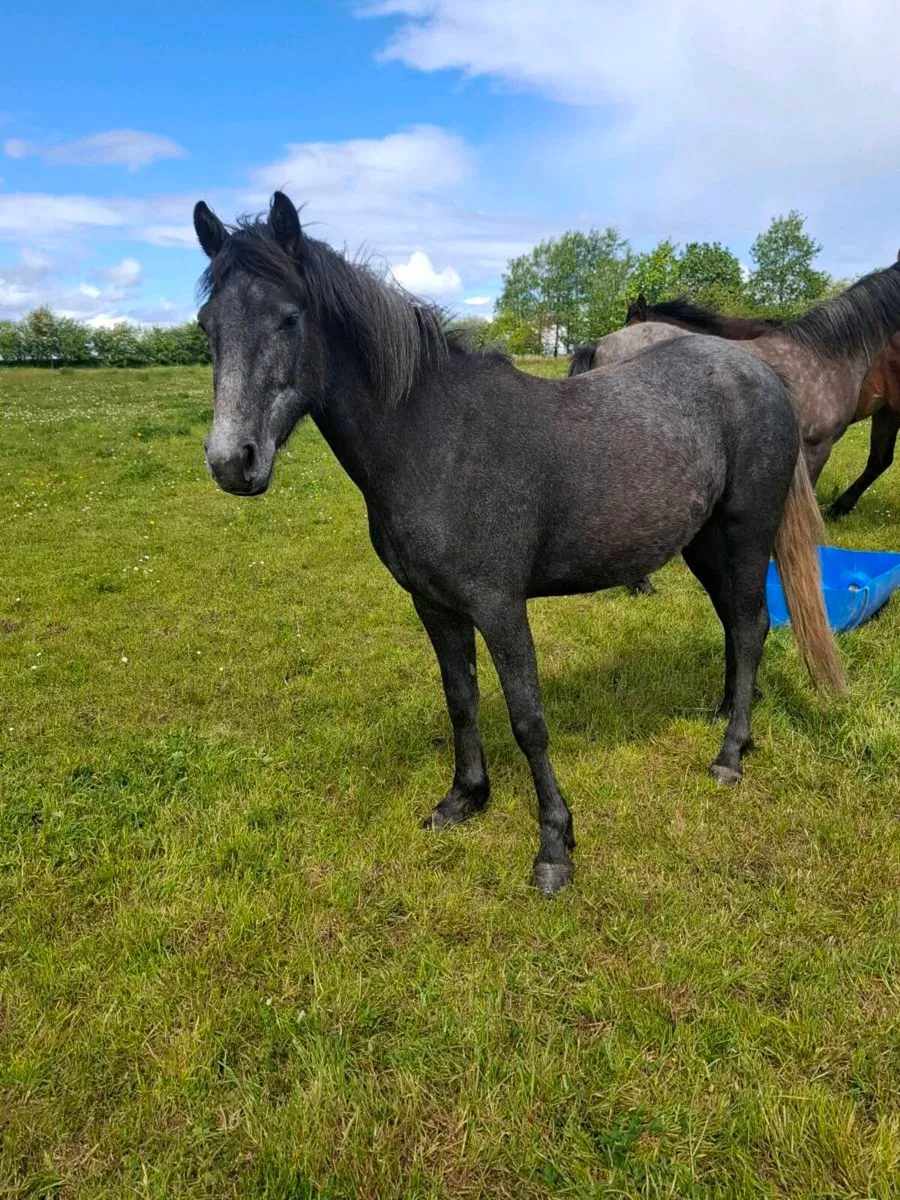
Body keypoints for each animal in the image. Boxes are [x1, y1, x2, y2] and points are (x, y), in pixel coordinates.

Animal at [193, 191, 845, 896]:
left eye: (289, 319)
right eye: (207, 326)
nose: (232, 462)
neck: (436, 441)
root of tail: (758, 371)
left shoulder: (500, 607)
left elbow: (528, 719)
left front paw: (554, 846)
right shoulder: (435, 606)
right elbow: (461, 699)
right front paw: (464, 799)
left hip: (747, 532)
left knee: (752, 625)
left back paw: (730, 754)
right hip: (701, 543)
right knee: (734, 621)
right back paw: (726, 715)